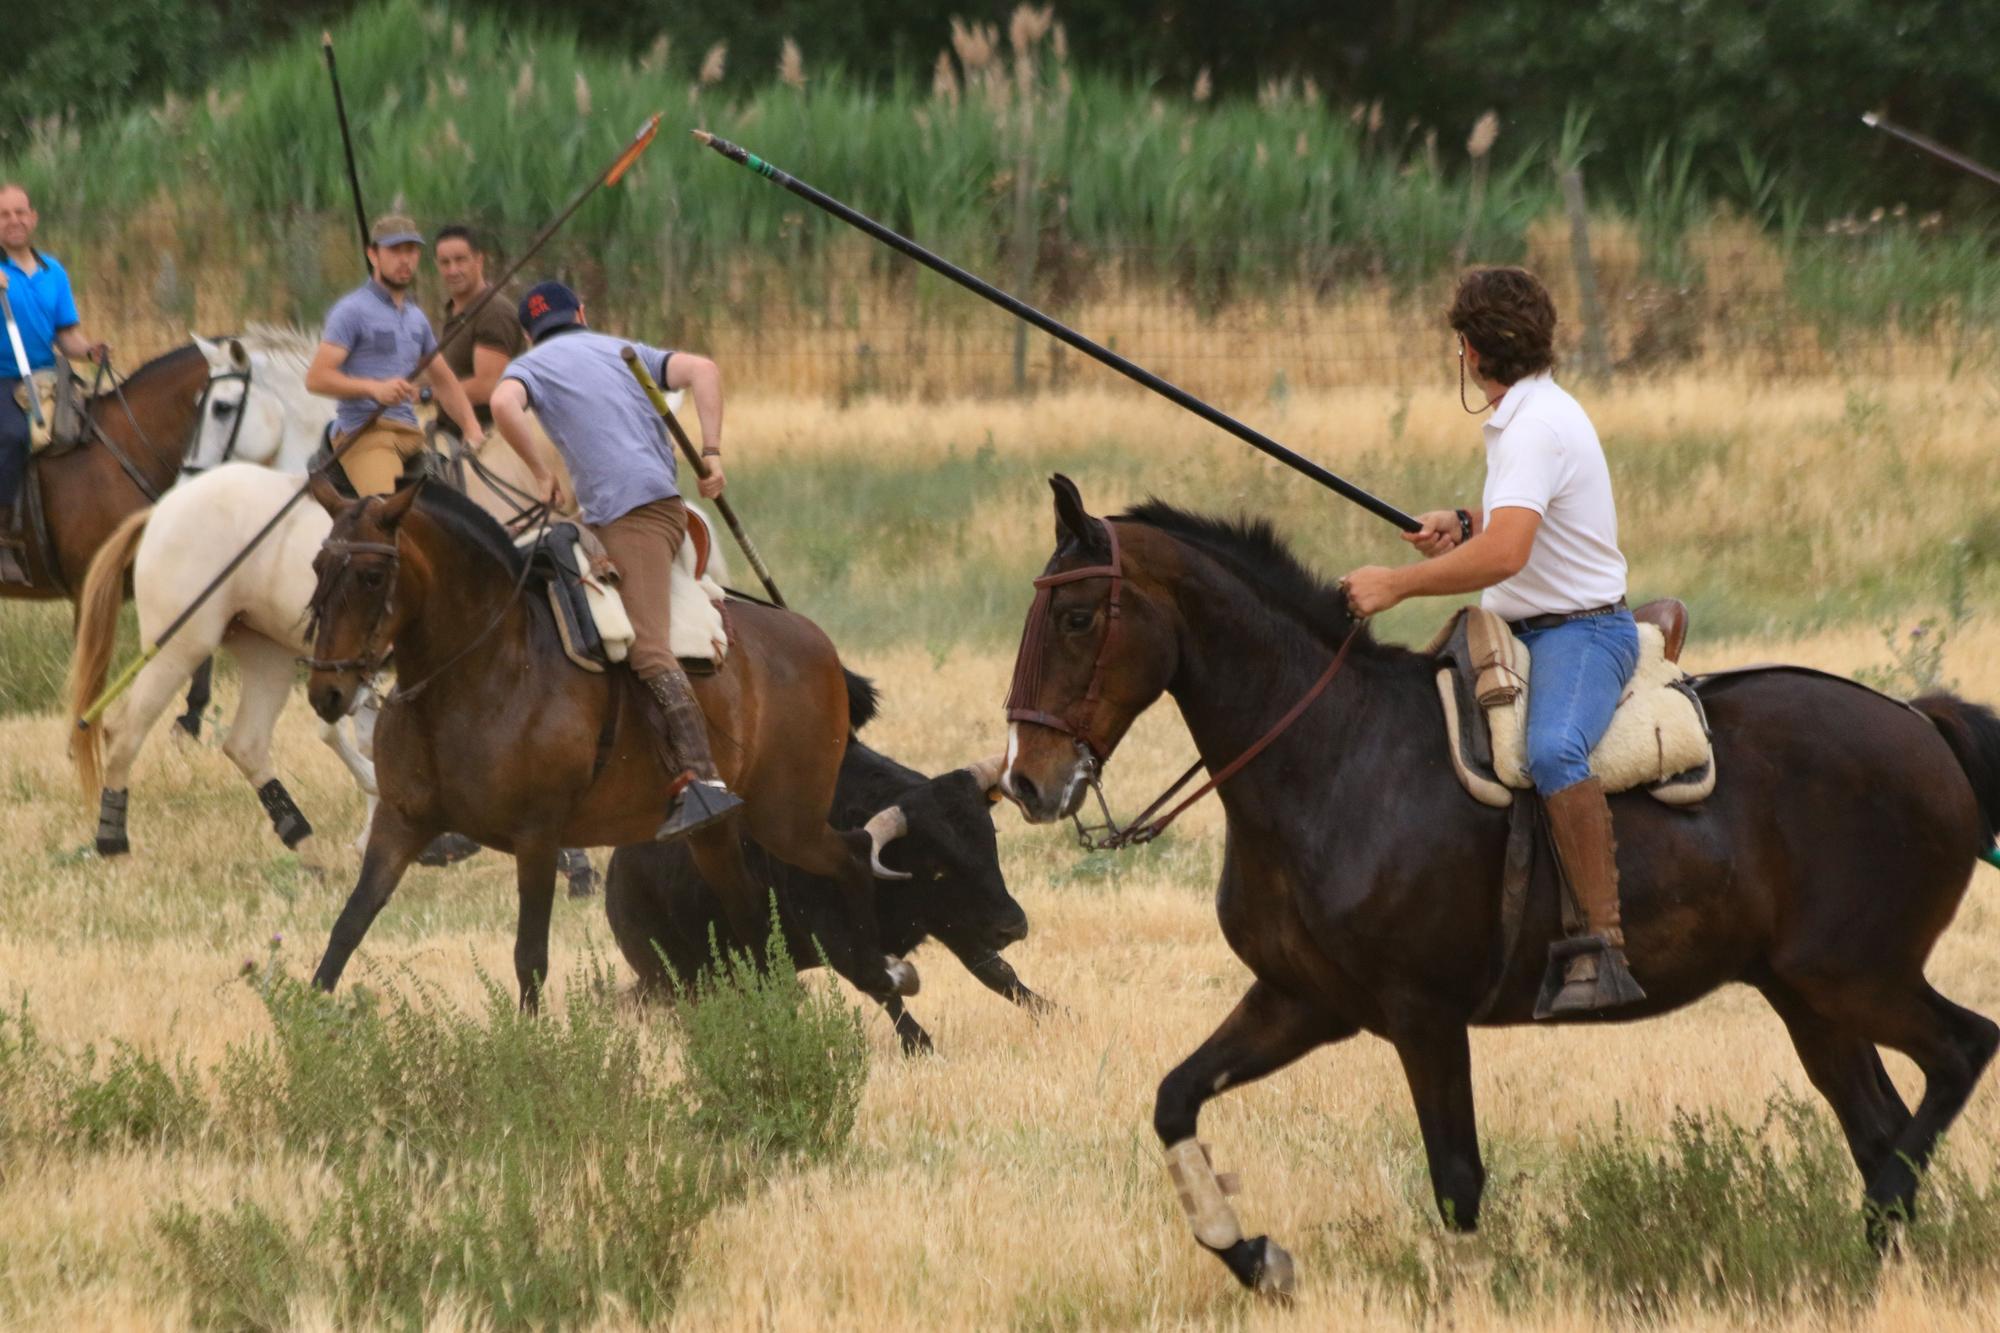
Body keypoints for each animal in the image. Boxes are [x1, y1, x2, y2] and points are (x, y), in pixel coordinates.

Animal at [298, 478, 916, 1008]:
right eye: (317, 566)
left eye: (372, 576)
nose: (327, 691)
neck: (483, 670)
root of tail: (813, 639)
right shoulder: (401, 823)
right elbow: (348, 926)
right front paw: (310, 1024)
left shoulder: (537, 838)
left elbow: (530, 956)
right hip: (719, 835)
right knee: (754, 922)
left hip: (787, 818)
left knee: (852, 854)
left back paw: (882, 970)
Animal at [608, 716, 1048, 1048]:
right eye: (936, 867)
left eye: (989, 840)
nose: (1013, 926)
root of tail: (616, 873)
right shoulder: (838, 938)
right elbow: (881, 985)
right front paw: (918, 1044)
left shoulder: (952, 920)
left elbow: (997, 972)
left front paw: (1051, 1011)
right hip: (672, 975)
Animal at [1008, 472, 2000, 1288]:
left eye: (1077, 618)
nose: (1025, 780)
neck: (1333, 752)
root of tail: (1922, 722)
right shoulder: (1301, 999)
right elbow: (1175, 1097)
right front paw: (1254, 1255)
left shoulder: (1423, 1014)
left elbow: (1456, 1179)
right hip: (1809, 994)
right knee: (1878, 1121)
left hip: (1857, 975)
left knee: (1960, 1051)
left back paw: (1884, 1214)